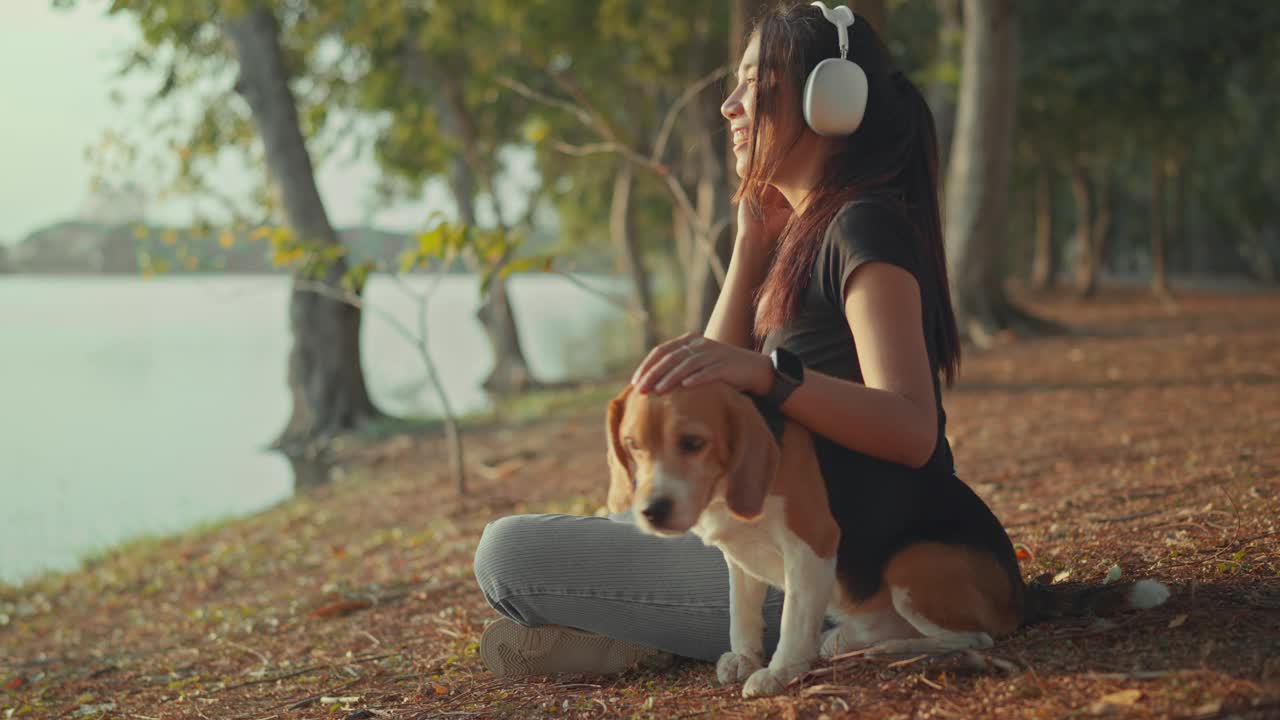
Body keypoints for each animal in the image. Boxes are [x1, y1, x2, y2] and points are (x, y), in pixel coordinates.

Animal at [606, 381, 1172, 696]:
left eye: (693, 442)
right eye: (632, 447)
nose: (652, 511)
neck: (724, 490)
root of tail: (1021, 593)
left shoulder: (811, 546)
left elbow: (791, 621)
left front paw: (779, 672)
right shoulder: (740, 559)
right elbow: (740, 614)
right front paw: (745, 657)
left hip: (913, 561)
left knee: (975, 639)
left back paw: (891, 649)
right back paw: (853, 639)